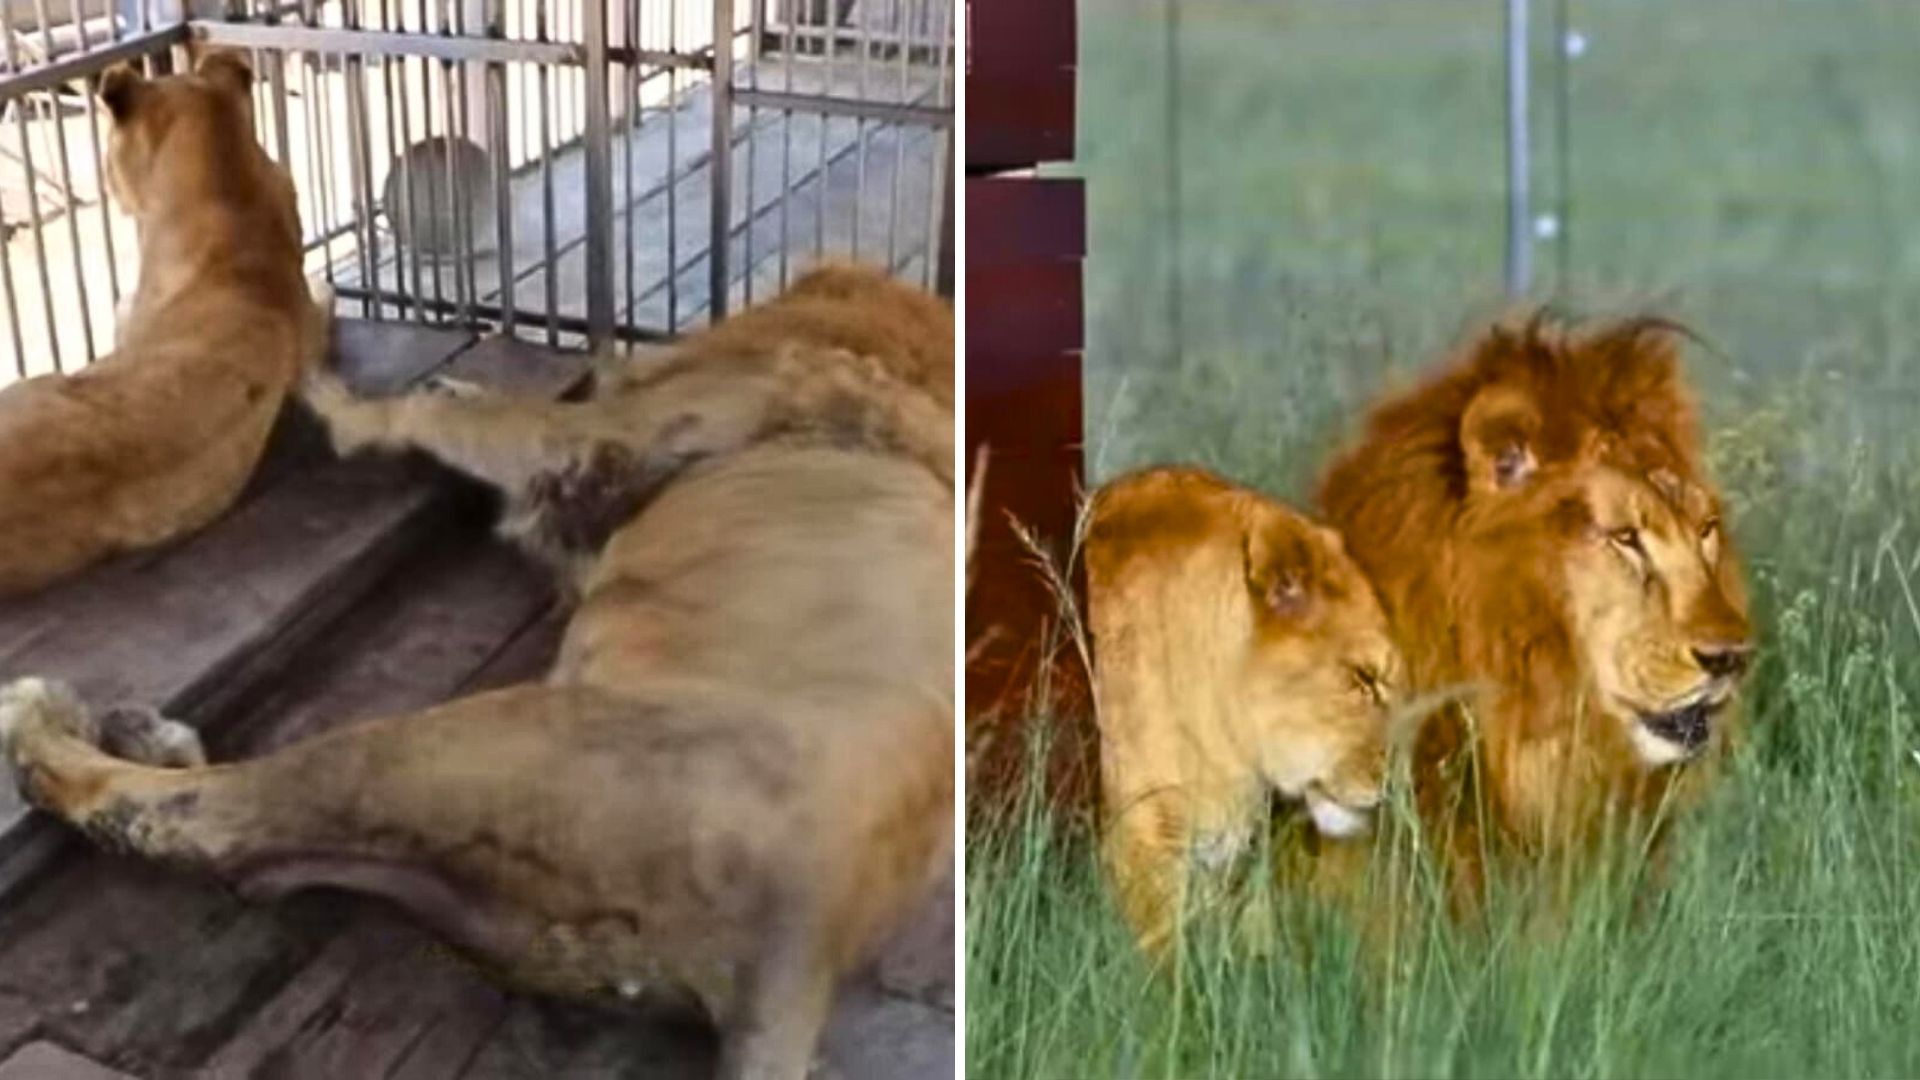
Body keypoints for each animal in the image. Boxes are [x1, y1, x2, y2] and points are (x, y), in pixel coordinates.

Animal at [0, 263, 956, 1076]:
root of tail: (804, 955)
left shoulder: (583, 442)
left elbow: (440, 419)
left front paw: (349, 399)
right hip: (485, 898)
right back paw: (142, 731)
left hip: (440, 753)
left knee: (196, 824)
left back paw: (43, 724)